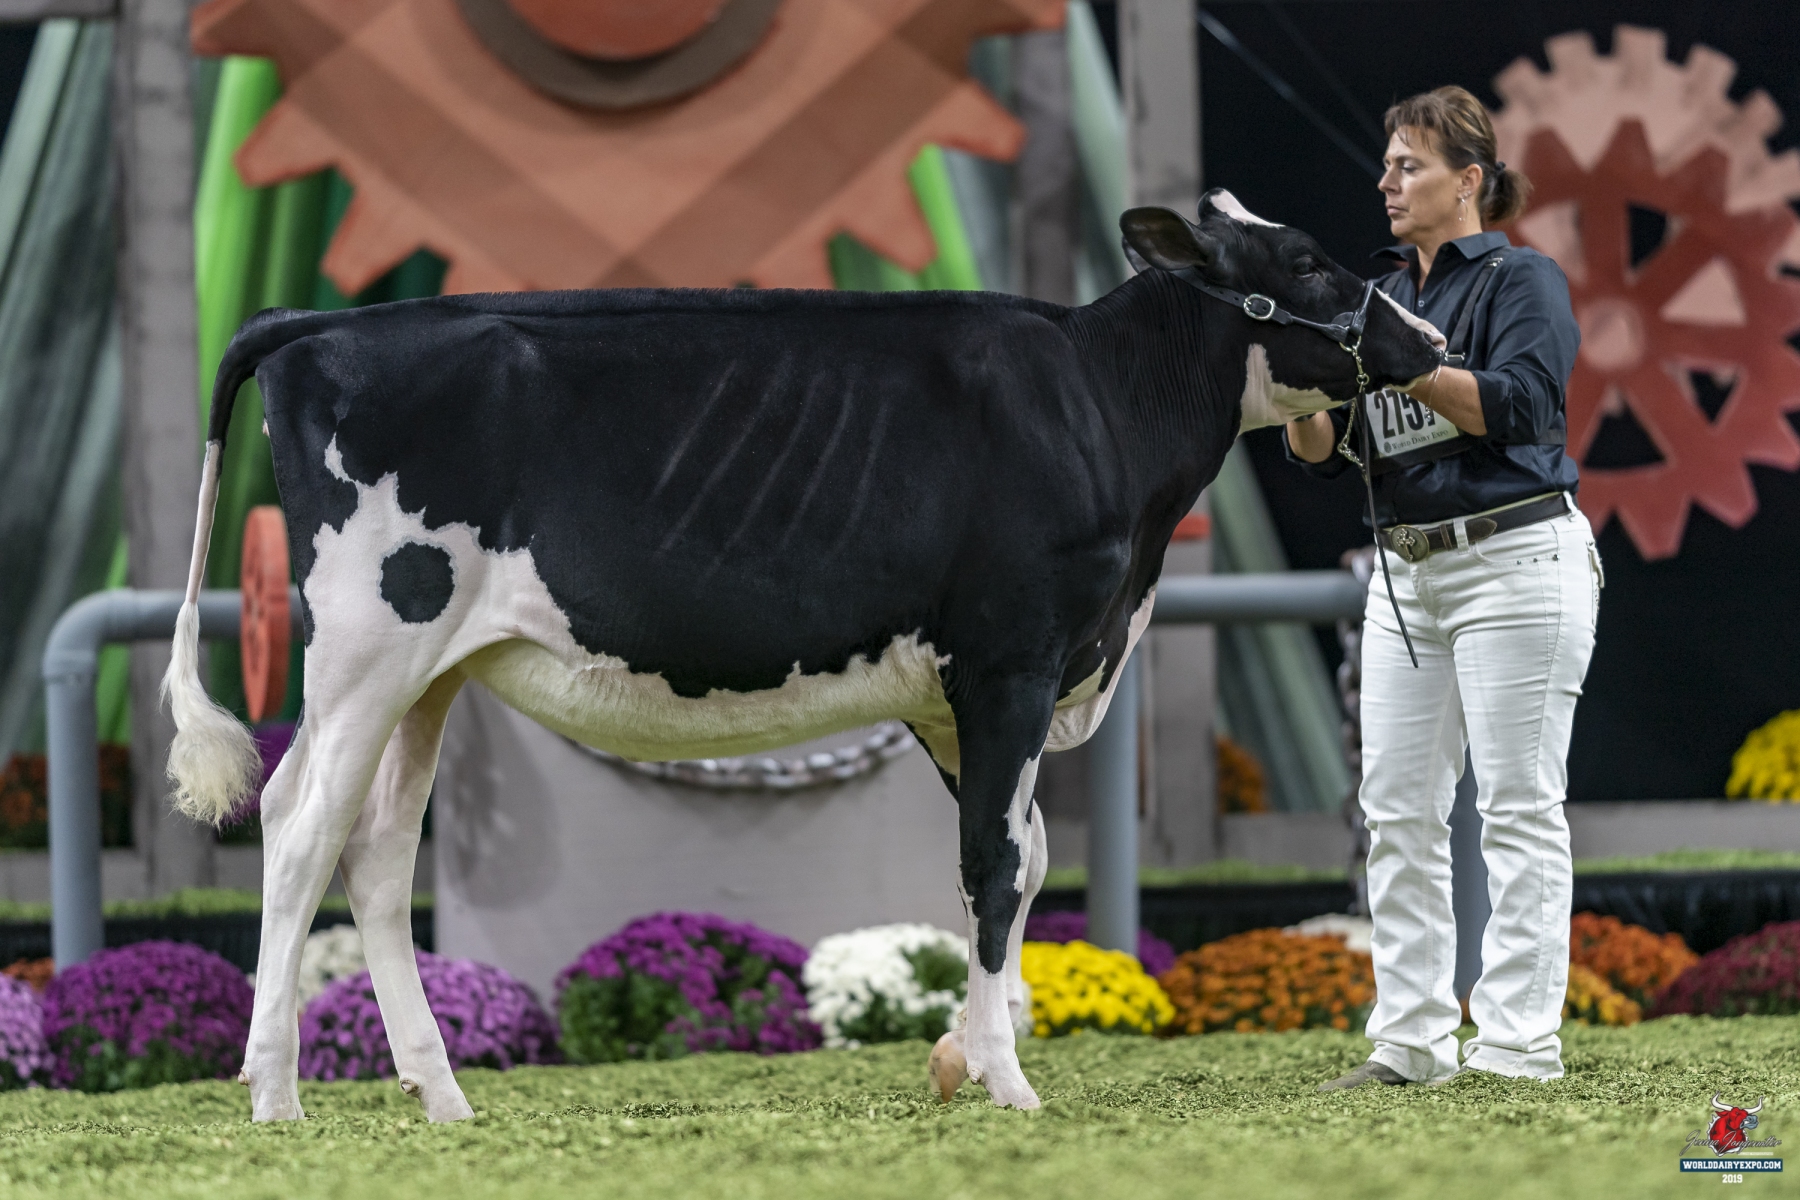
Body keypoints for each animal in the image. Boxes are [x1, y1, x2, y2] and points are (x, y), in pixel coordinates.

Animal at [163, 190, 1443, 1122]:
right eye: (1311, 266)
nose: (1429, 337)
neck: (1098, 403)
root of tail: (324, 324)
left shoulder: (952, 696)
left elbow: (1023, 860)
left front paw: (959, 1058)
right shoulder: (1011, 660)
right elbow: (993, 868)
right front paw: (1010, 1082)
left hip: (426, 677)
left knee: (376, 853)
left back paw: (440, 1097)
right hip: (369, 645)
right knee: (300, 828)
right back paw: (275, 1095)